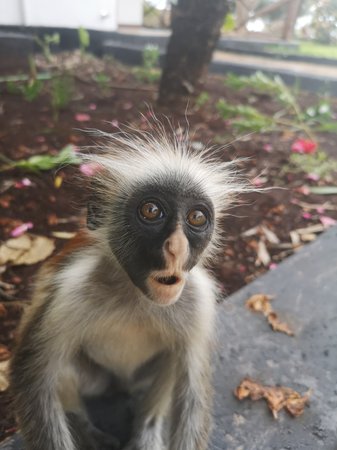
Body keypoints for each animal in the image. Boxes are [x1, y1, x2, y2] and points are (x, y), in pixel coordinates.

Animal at [10, 127, 247, 450]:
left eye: (197, 217)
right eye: (151, 210)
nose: (177, 248)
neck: (137, 297)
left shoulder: (197, 299)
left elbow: (193, 390)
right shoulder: (69, 291)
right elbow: (32, 381)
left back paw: (147, 430)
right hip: (97, 378)